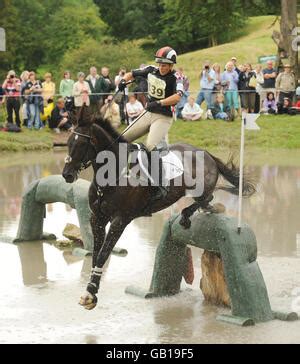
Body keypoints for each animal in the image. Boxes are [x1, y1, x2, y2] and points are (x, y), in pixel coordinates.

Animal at [62, 106, 254, 310]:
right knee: (206, 200)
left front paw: (90, 293)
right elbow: (96, 254)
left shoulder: (120, 220)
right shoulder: (97, 218)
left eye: (82, 143)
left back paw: (196, 212)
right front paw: (91, 290)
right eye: (68, 142)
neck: (111, 175)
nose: (66, 175)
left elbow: (103, 254)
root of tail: (206, 153)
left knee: (207, 198)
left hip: (200, 187)